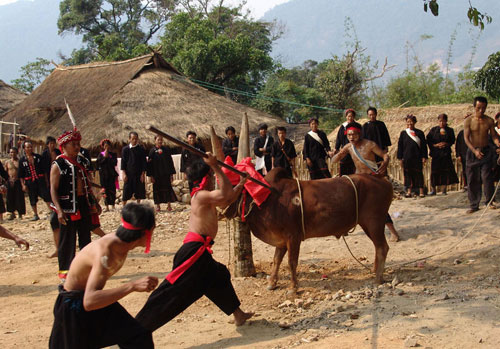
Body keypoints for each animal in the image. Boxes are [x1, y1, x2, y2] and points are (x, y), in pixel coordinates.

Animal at [224, 167, 394, 290]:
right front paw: (272, 283)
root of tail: (381, 179)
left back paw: (378, 278)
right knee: (378, 247)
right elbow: (276, 260)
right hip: (367, 224)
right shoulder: (281, 240)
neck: (267, 198)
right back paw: (375, 271)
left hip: (374, 221)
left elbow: (291, 262)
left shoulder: (293, 237)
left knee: (382, 247)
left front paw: (293, 287)